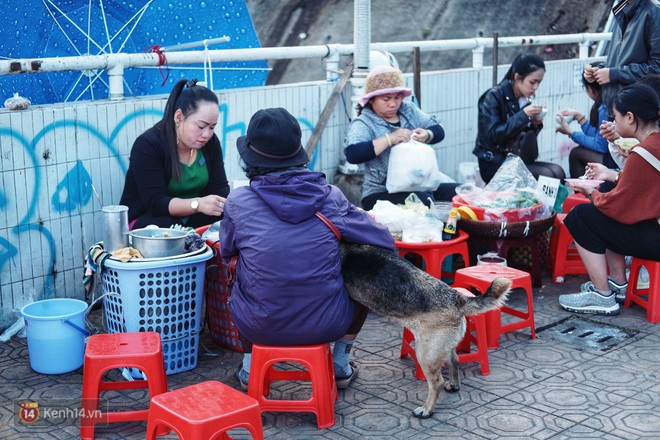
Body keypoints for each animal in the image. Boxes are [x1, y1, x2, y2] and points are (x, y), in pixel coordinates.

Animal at [340, 244, 510, 420]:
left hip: (425, 354)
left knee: (436, 383)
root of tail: (457, 299)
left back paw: (426, 410)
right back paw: (454, 385)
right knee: (454, 360)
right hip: (440, 347)